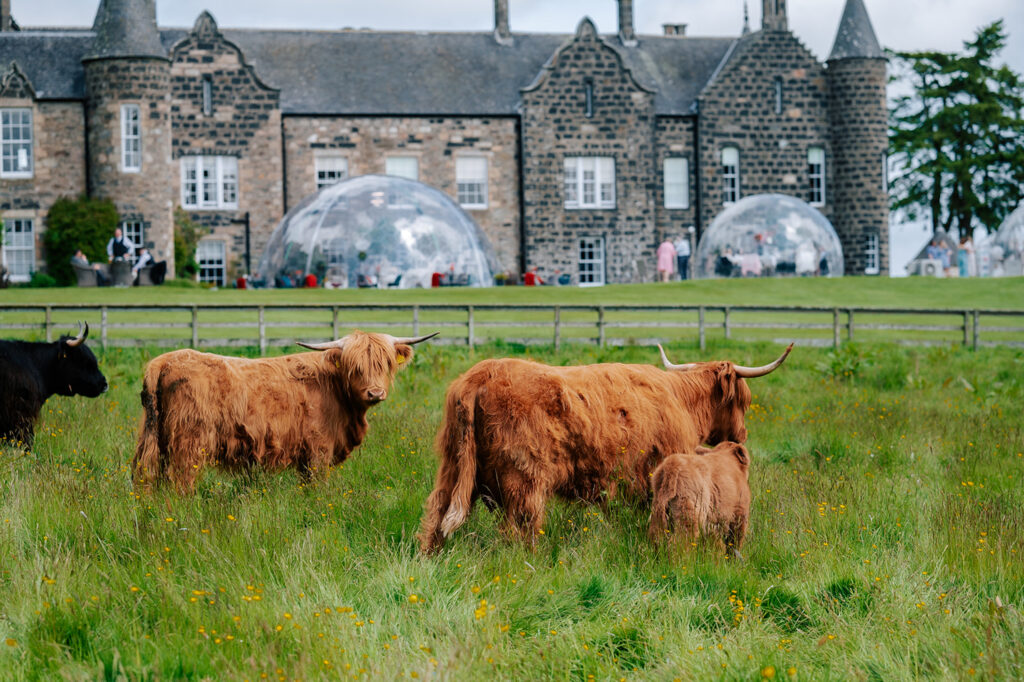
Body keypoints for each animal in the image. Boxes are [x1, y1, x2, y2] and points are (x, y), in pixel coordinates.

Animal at [132, 327, 436, 491]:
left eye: (386, 363)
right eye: (355, 366)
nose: (375, 392)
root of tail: (164, 360)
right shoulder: (318, 452)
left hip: (153, 442)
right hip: (189, 445)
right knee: (180, 484)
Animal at [417, 342, 790, 548]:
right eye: (743, 399)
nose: (740, 434)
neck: (681, 400)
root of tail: (479, 375)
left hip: (453, 466)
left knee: (435, 514)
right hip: (524, 479)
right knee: (519, 528)